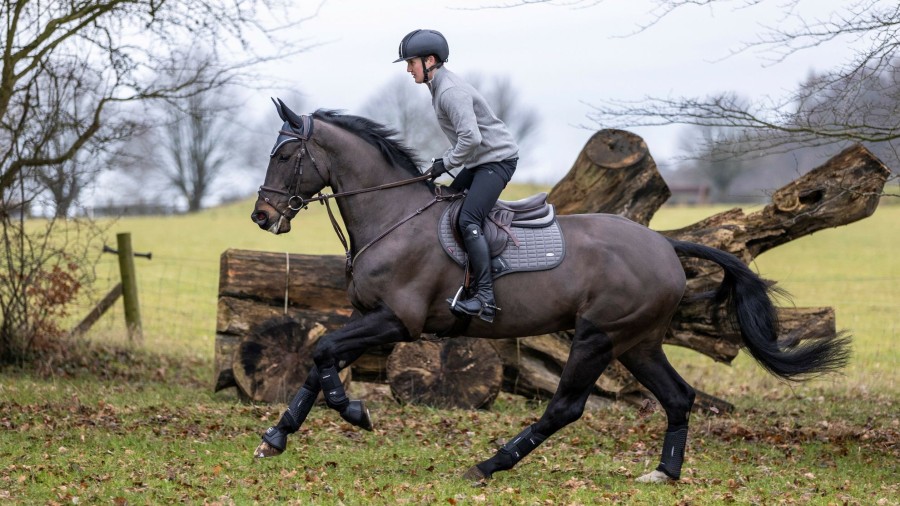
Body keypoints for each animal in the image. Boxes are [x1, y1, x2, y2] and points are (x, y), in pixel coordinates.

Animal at [250, 101, 848, 484]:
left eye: (283, 156)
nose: (261, 216)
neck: (394, 216)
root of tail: (664, 244)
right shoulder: (371, 318)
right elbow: (318, 359)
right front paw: (277, 437)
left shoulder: (398, 320)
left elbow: (324, 355)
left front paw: (352, 412)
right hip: (638, 343)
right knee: (678, 397)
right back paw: (664, 472)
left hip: (597, 337)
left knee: (565, 406)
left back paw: (490, 465)